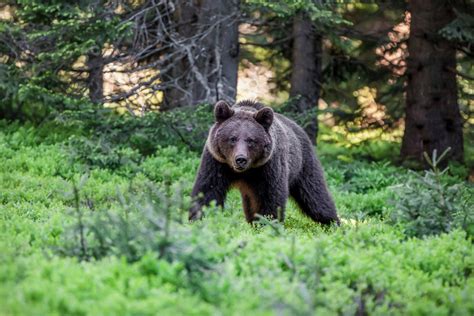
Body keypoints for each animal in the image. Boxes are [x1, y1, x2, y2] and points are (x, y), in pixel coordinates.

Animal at [187, 99, 338, 225]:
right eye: (232, 138)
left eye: (251, 140)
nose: (240, 159)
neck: (246, 171)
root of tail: (299, 128)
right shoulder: (217, 162)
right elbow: (208, 190)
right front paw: (198, 219)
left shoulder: (268, 167)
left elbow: (271, 197)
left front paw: (267, 224)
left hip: (304, 164)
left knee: (315, 196)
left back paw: (333, 224)